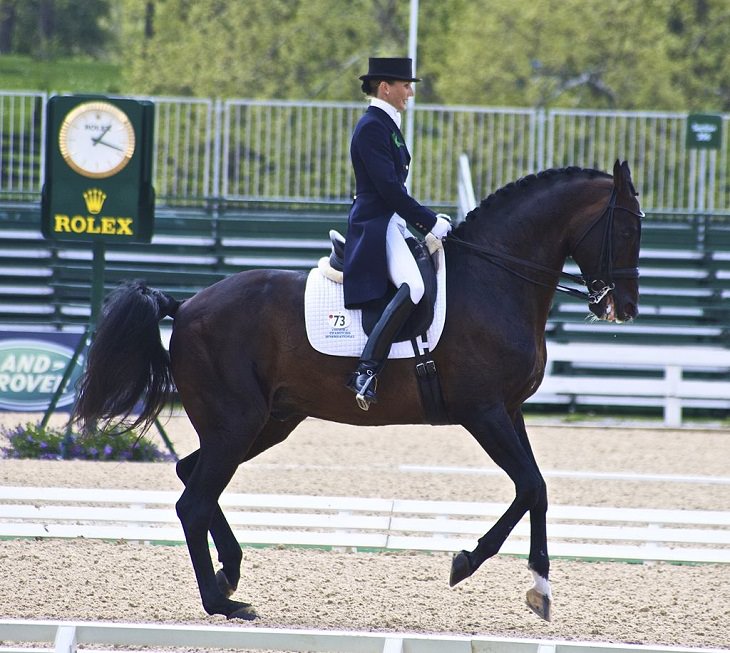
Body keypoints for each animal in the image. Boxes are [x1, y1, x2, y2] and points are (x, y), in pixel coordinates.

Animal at [74, 158, 640, 620]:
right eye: (628, 225)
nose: (625, 307)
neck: (494, 279)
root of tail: (187, 305)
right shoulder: (483, 412)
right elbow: (529, 486)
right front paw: (468, 563)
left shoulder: (510, 410)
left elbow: (536, 489)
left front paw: (538, 587)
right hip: (237, 423)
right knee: (193, 501)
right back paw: (222, 603)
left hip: (265, 423)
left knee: (192, 476)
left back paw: (229, 573)